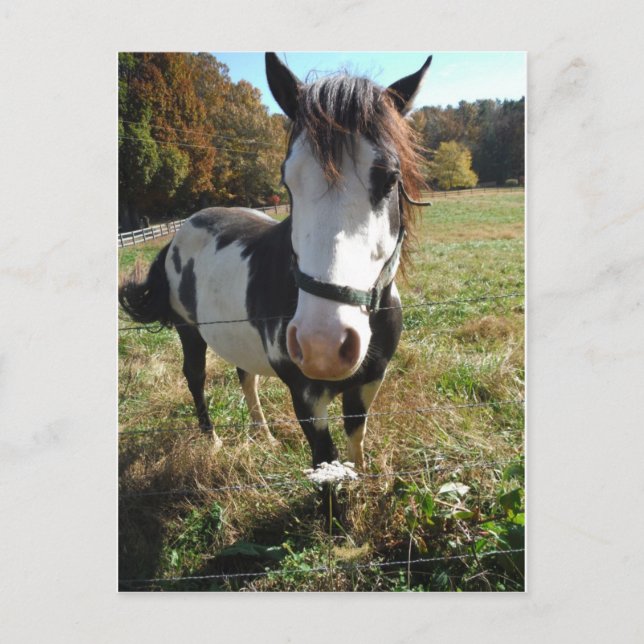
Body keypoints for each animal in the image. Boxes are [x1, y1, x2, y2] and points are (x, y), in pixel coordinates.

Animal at [119, 52, 432, 475]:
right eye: (288, 182)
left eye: (390, 178)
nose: (322, 346)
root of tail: (178, 234)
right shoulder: (307, 402)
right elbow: (327, 472)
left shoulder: (368, 383)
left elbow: (356, 441)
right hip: (189, 333)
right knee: (195, 378)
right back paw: (212, 440)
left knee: (245, 376)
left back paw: (263, 435)